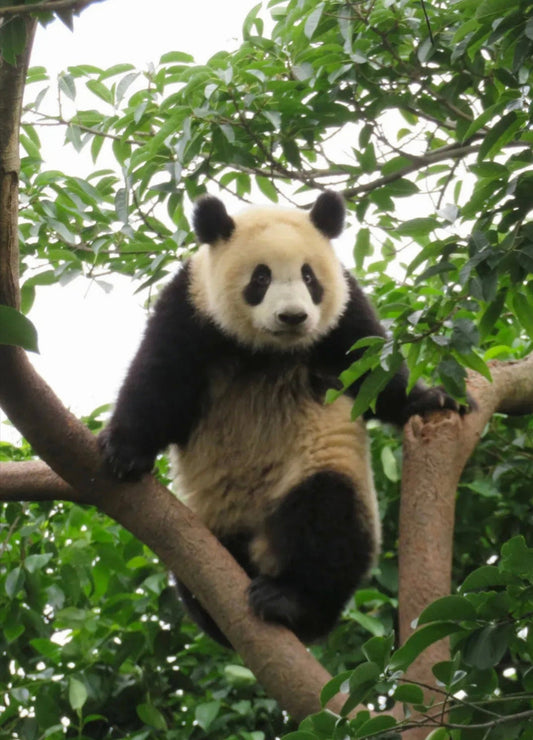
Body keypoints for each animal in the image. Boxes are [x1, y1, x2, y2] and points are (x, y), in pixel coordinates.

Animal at [99, 191, 463, 648]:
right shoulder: (191, 308)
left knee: (328, 518)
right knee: (190, 567)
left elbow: (372, 373)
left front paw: (431, 398)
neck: (267, 350)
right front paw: (124, 453)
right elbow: (160, 380)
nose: (293, 316)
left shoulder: (344, 314)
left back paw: (289, 602)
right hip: (210, 518)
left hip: (312, 471)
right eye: (261, 278)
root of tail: (258, 551)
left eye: (309, 277)